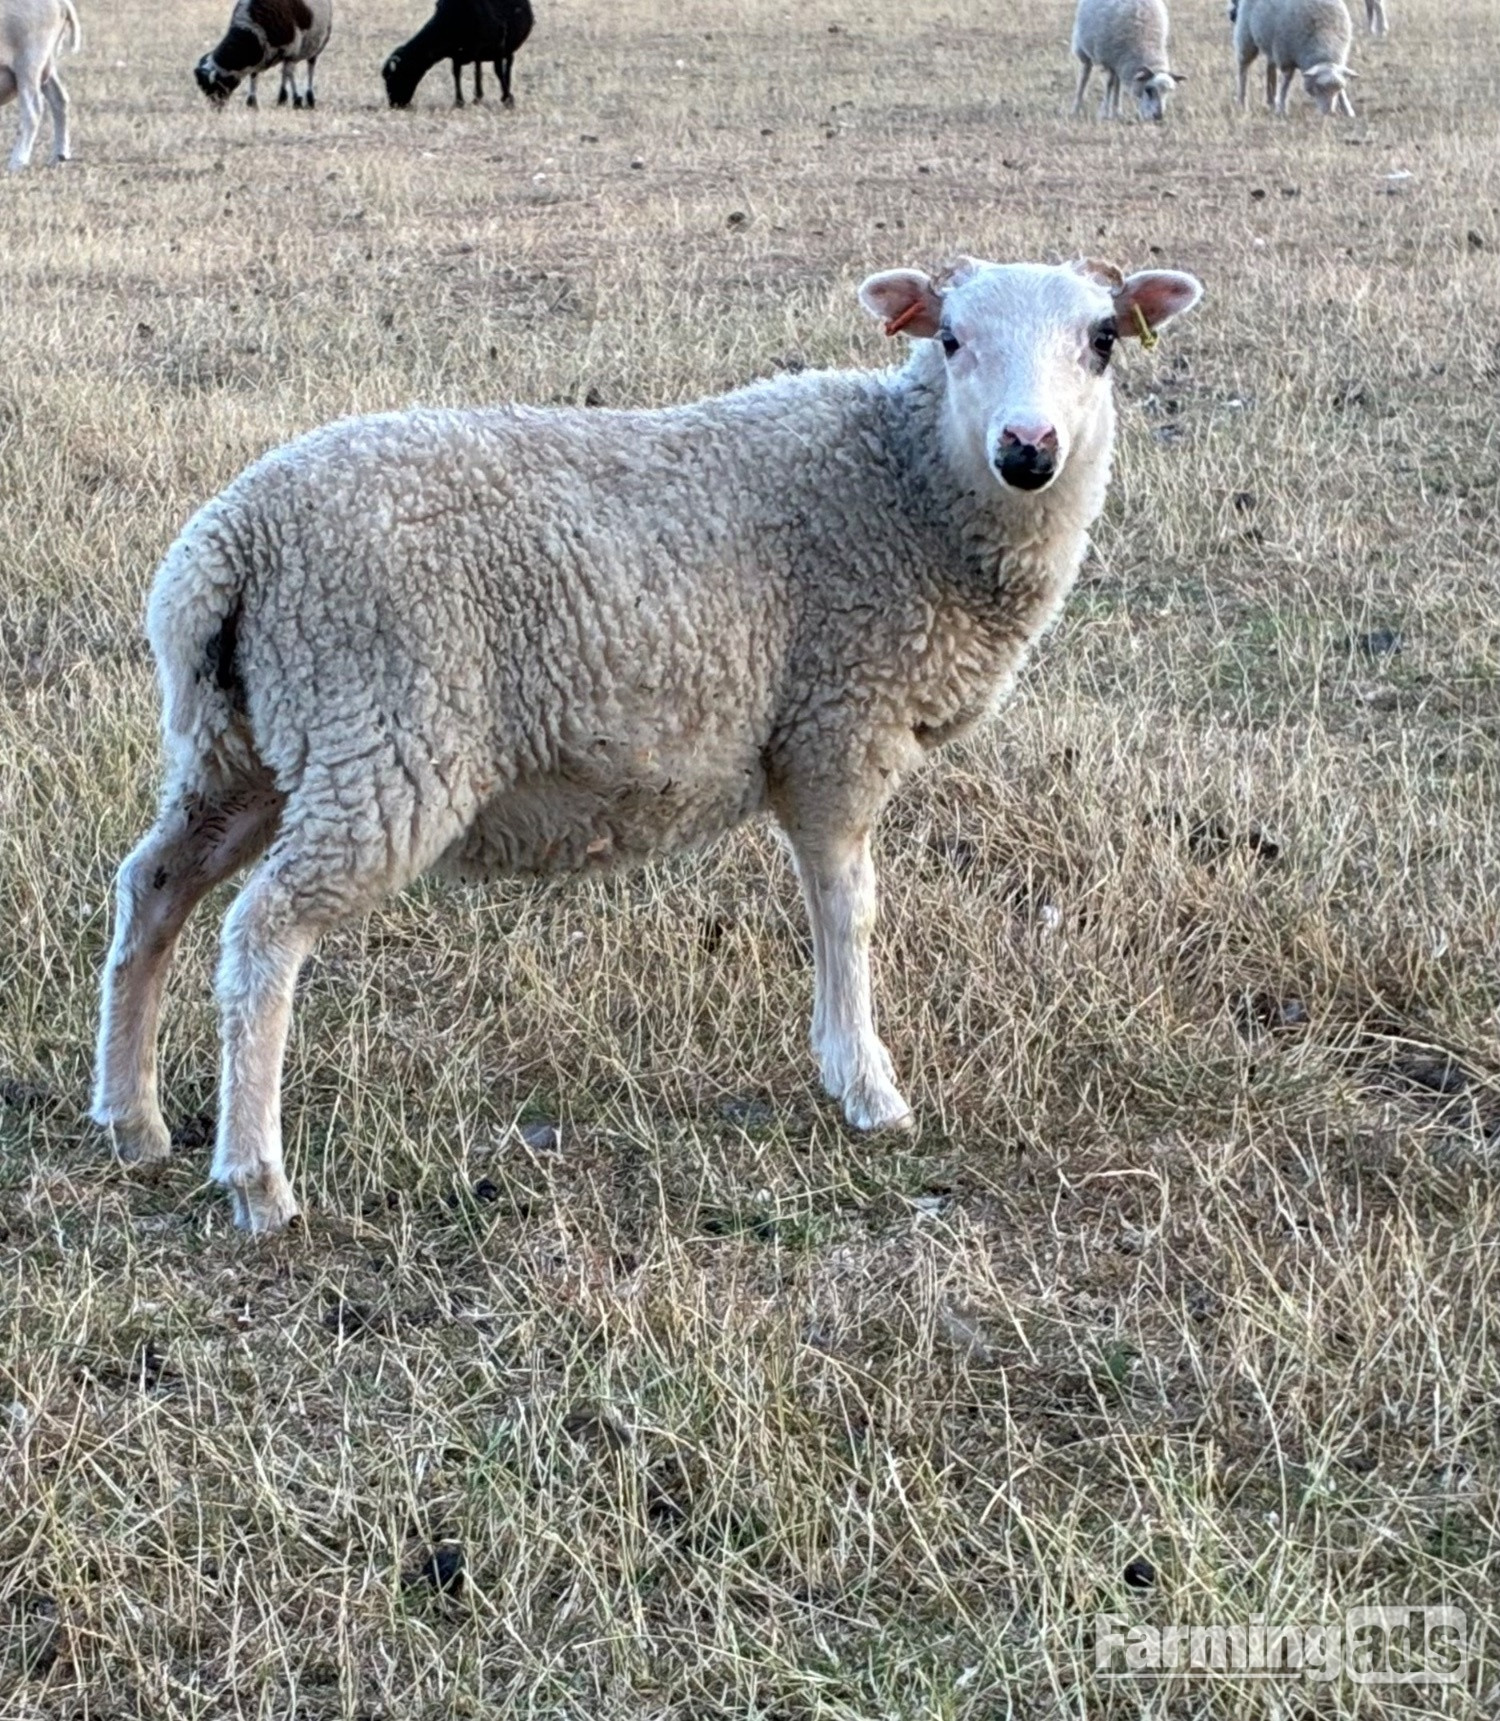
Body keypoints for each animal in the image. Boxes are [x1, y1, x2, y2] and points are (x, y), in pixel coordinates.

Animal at [0, 0, 79, 172]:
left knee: (33, 111)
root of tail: (61, 3)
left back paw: (18, 161)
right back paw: (59, 155)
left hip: (29, 62)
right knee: (60, 99)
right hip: (46, 63)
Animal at [91, 253, 1203, 1235]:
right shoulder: (838, 726)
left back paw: (131, 1116)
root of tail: (231, 542)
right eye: (954, 338)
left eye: (1103, 340)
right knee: (263, 932)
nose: (1029, 447)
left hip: (248, 743)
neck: (907, 485)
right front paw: (867, 1085)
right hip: (386, 732)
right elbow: (849, 911)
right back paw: (257, 1180)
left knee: (155, 885)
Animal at [195, 0, 333, 110]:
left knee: (309, 68)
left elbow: (290, 73)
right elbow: (254, 75)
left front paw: (297, 101)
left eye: (216, 86)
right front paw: (252, 103)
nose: (216, 108)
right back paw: (281, 99)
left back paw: (309, 99)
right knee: (284, 72)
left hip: (318, 43)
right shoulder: (260, 55)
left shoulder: (292, 50)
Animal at [382, 0, 534, 110]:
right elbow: (456, 72)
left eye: (395, 77)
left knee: (507, 64)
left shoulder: (498, 44)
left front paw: (508, 99)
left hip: (508, 47)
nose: (394, 104)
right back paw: (478, 96)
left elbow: (498, 71)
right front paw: (459, 101)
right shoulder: (457, 53)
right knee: (478, 68)